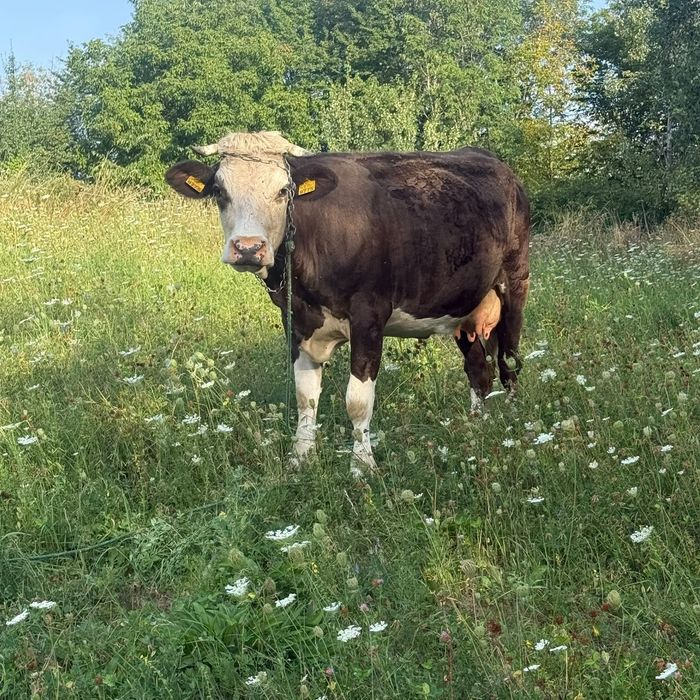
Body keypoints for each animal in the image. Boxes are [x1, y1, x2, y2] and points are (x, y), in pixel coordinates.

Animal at [165, 131, 530, 473]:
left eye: (283, 191)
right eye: (219, 191)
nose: (248, 248)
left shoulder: (369, 315)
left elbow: (357, 400)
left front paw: (362, 466)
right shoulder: (295, 319)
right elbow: (305, 397)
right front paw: (301, 458)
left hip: (515, 283)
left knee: (509, 361)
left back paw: (516, 426)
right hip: (462, 306)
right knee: (478, 369)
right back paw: (476, 424)